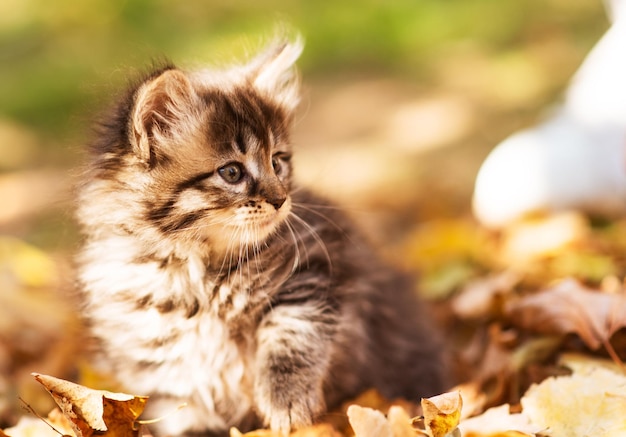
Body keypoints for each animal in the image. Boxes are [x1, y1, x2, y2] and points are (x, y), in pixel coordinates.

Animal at [77, 39, 444, 434]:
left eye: (278, 162)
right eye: (232, 172)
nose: (281, 199)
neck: (197, 271)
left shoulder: (314, 269)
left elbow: (291, 336)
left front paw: (287, 404)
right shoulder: (158, 355)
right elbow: (181, 406)